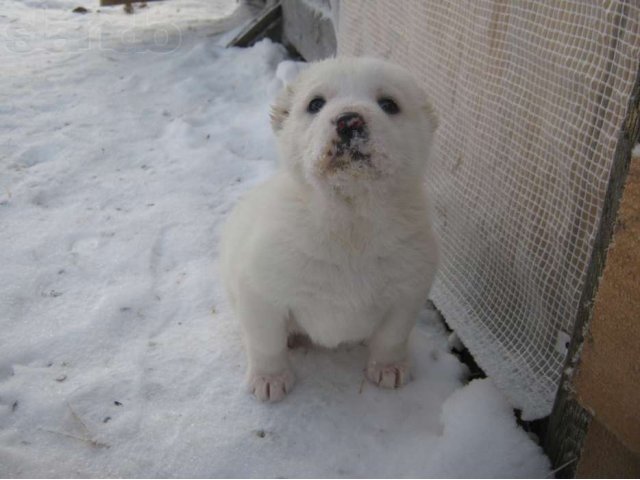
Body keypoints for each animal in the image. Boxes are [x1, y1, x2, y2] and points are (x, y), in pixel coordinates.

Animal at [221, 57, 440, 402]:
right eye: (316, 104)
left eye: (389, 104)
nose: (349, 121)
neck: (350, 222)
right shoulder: (259, 292)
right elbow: (265, 341)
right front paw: (269, 379)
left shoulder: (408, 293)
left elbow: (391, 338)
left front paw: (388, 368)